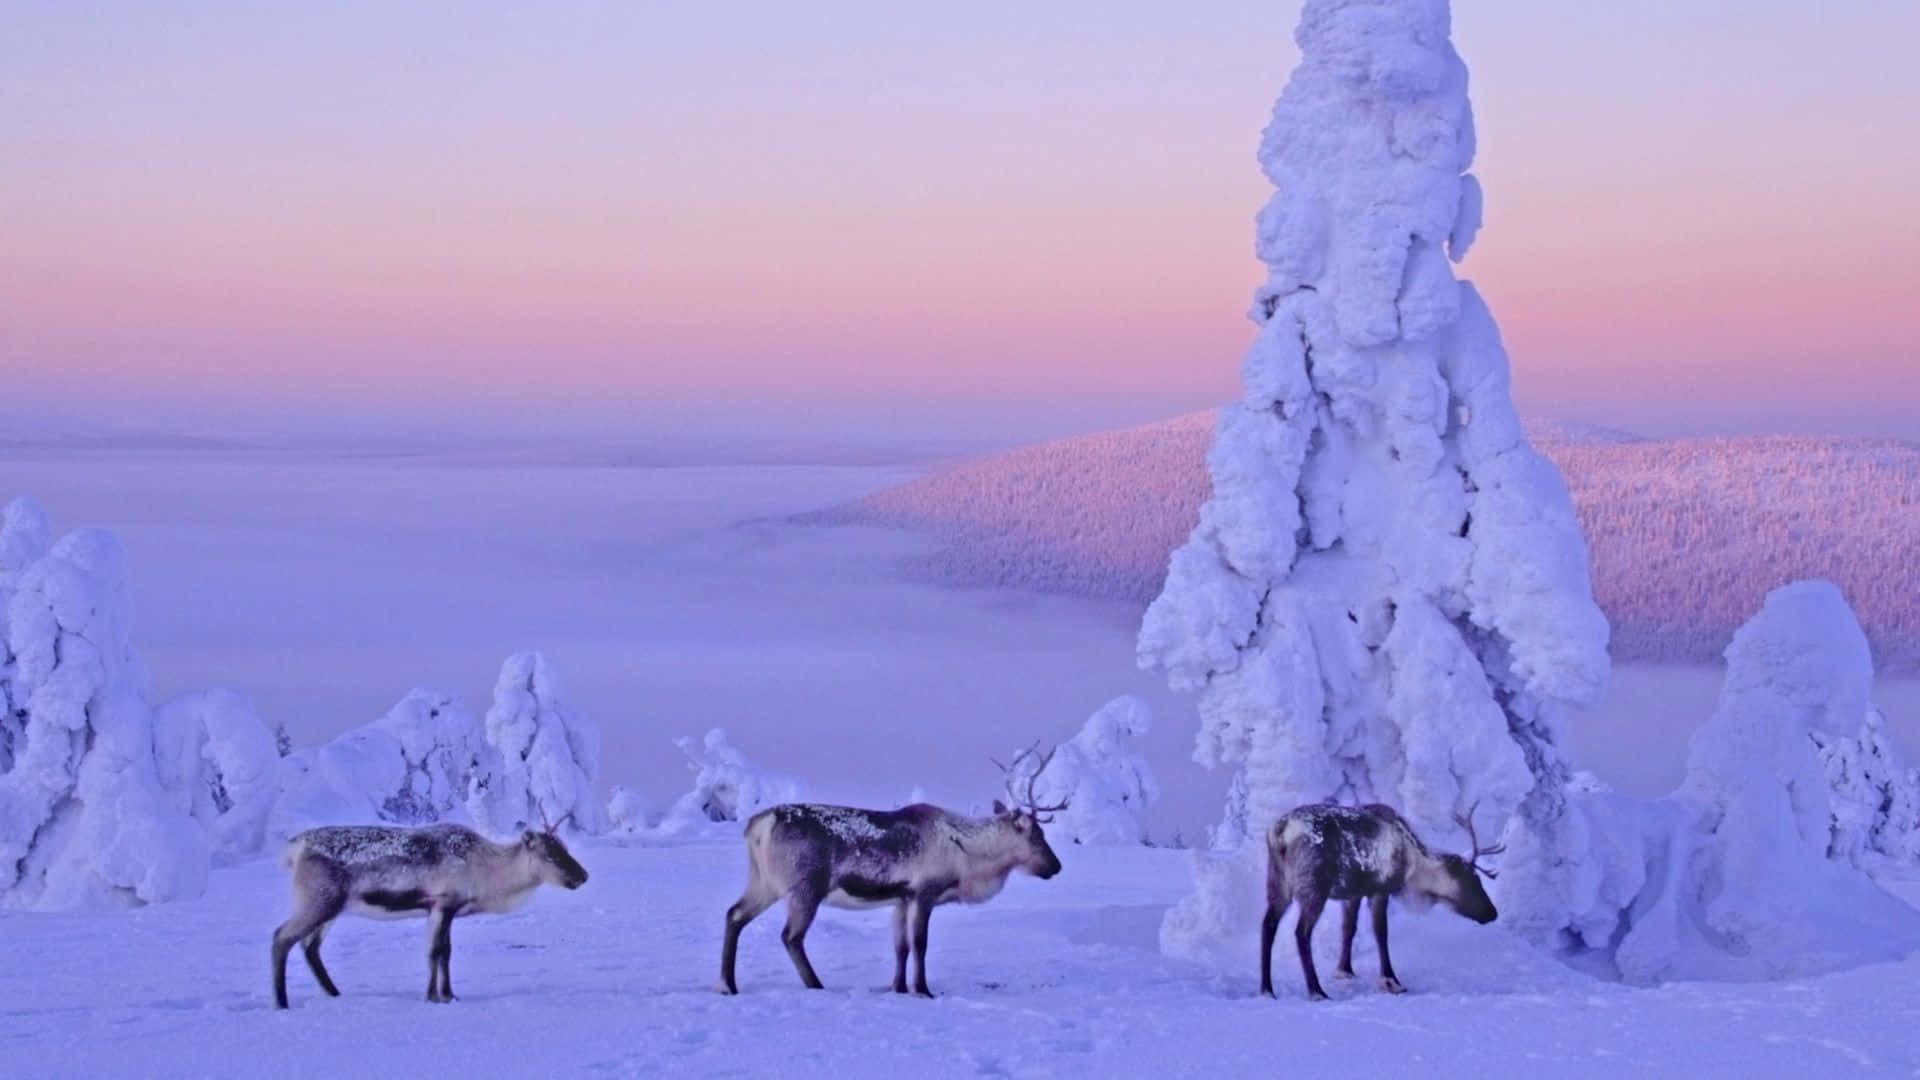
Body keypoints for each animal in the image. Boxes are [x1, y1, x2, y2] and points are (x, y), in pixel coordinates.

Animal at [270, 817, 589, 1009]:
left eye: (565, 848)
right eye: (550, 856)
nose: (583, 876)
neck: (488, 872)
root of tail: (294, 848)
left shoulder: (443, 909)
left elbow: (445, 952)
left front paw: (449, 994)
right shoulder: (442, 904)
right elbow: (436, 951)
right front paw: (434, 996)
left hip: (332, 907)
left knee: (310, 947)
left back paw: (334, 993)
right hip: (318, 901)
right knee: (281, 937)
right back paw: (282, 1002)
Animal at [719, 744, 1067, 998]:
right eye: (1037, 836)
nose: (1057, 866)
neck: (968, 858)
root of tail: (758, 824)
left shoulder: (901, 899)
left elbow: (900, 947)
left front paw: (898, 988)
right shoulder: (924, 893)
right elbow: (920, 944)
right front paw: (923, 990)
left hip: (764, 881)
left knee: (734, 914)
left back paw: (727, 984)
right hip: (805, 887)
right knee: (791, 936)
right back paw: (815, 985)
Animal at [1259, 800, 1501, 1001]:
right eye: (1473, 880)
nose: (1492, 913)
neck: (1413, 867)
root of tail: (1279, 832)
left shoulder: (1353, 893)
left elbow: (1348, 929)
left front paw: (1345, 970)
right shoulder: (1381, 888)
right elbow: (1381, 932)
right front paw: (1391, 981)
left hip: (1277, 881)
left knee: (1268, 925)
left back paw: (1267, 989)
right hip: (1313, 887)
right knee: (1301, 933)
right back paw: (1317, 991)